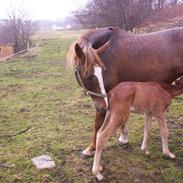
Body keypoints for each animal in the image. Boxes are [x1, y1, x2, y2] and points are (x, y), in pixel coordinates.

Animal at [67, 26, 183, 159]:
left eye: (101, 72)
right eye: (89, 76)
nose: (103, 107)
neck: (109, 53)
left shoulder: (107, 96)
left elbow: (98, 123)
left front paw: (90, 149)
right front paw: (123, 136)